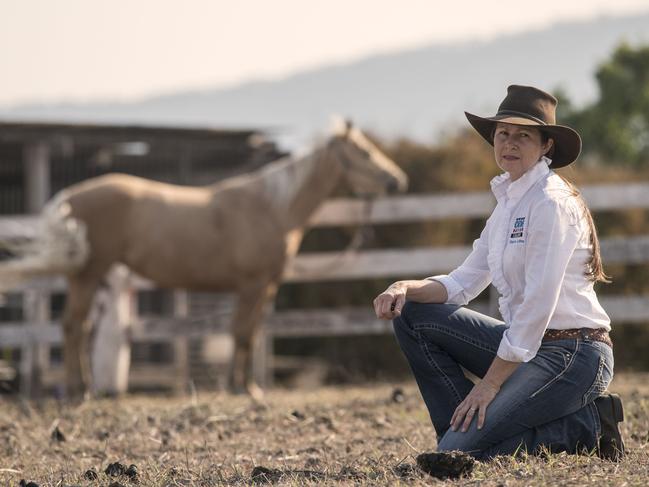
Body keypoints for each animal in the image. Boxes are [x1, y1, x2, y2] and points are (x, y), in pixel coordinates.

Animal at [0, 121, 404, 396]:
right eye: (364, 152)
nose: (397, 181)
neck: (271, 208)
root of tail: (68, 197)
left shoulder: (265, 288)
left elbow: (251, 333)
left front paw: (244, 386)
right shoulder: (252, 285)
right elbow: (241, 332)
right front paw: (241, 388)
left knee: (76, 328)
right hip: (86, 275)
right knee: (73, 327)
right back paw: (78, 391)